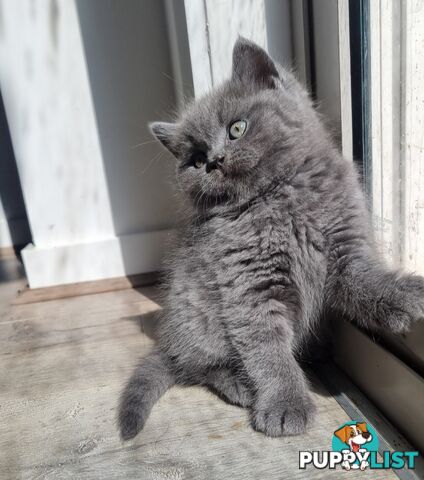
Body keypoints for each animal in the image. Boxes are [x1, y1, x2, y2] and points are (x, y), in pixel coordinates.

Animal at [118, 39, 424, 440]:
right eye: (196, 160)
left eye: (237, 128)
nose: (215, 160)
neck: (277, 197)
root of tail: (169, 337)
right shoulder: (249, 285)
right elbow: (267, 349)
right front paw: (285, 403)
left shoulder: (346, 247)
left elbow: (363, 280)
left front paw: (402, 294)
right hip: (197, 315)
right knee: (198, 365)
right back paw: (239, 384)